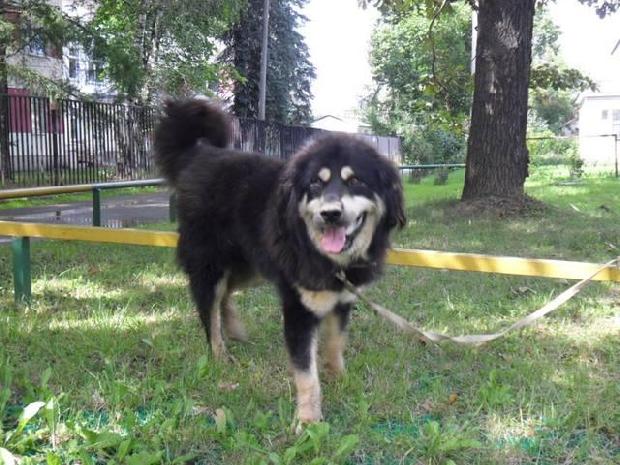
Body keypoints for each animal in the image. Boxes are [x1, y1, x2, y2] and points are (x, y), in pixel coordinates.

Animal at [154, 99, 405, 423]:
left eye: (355, 181)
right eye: (315, 184)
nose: (330, 214)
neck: (328, 258)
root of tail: (197, 155)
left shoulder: (343, 299)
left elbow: (335, 344)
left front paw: (339, 378)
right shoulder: (299, 309)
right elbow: (306, 374)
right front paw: (309, 419)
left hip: (252, 266)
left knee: (226, 295)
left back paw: (234, 329)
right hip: (210, 265)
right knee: (209, 311)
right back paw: (221, 354)